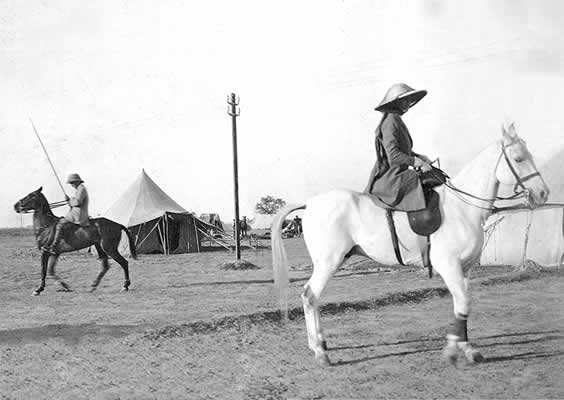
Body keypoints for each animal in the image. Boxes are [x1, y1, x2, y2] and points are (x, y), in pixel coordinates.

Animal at [270, 123, 548, 368]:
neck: (462, 208)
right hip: (329, 261)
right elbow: (463, 304)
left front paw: (468, 349)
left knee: (312, 298)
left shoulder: (465, 269)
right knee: (310, 296)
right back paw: (320, 352)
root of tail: (309, 203)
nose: (543, 193)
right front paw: (451, 352)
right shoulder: (448, 266)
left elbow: (462, 307)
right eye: (519, 158)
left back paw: (319, 344)